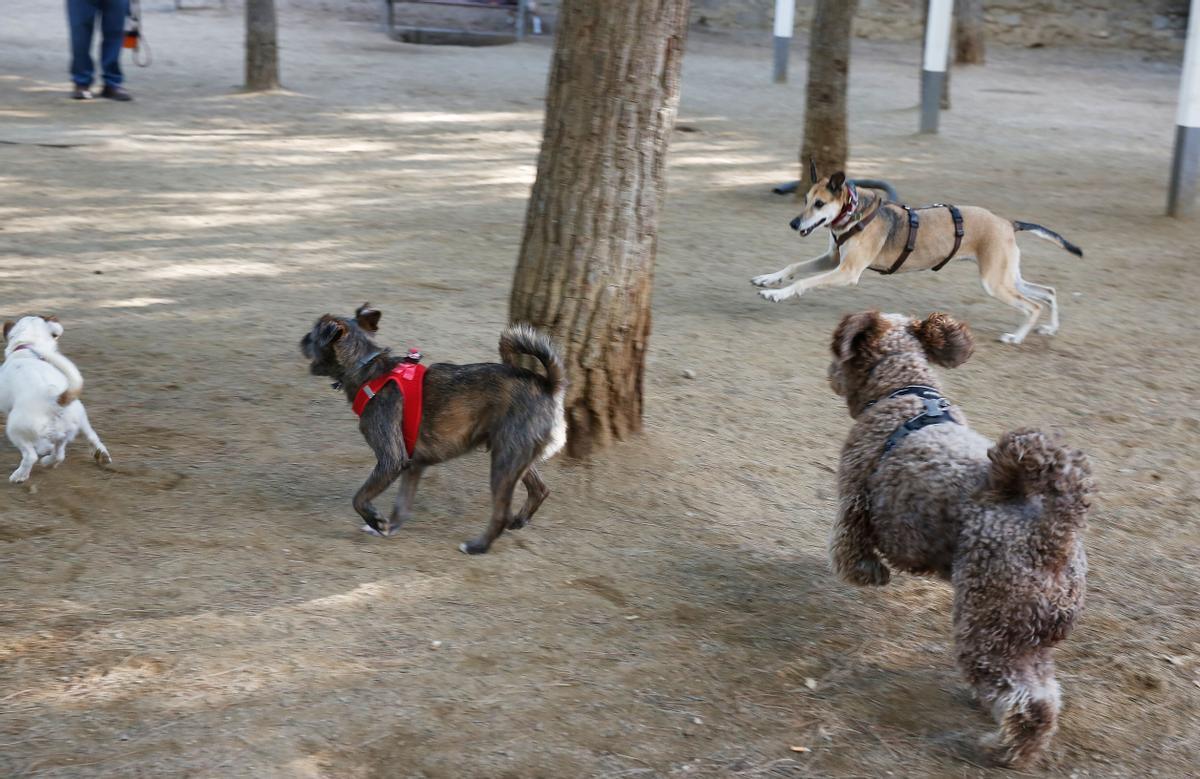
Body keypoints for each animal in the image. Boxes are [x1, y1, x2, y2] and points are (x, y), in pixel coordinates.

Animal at [1, 314, 111, 480]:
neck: (28, 348)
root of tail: (57, 400)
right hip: (73, 424)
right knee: (65, 451)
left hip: (16, 430)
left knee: (31, 456)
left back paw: (20, 475)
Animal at [297, 303, 564, 552]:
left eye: (313, 334)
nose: (301, 339)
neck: (367, 369)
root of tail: (547, 385)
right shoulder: (413, 464)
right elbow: (401, 506)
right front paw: (387, 527)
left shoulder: (391, 460)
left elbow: (359, 498)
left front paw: (376, 521)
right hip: (513, 456)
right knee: (540, 490)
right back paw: (519, 521)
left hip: (504, 463)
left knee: (501, 513)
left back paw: (477, 547)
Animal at [753, 164, 1084, 343]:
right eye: (805, 200)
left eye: (819, 204)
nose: (794, 223)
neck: (854, 213)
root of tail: (1007, 222)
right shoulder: (834, 259)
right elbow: (794, 266)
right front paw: (768, 279)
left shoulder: (847, 272)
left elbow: (803, 282)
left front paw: (777, 295)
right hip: (1006, 277)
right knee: (1049, 292)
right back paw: (1050, 328)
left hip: (995, 282)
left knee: (1033, 305)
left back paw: (1016, 336)